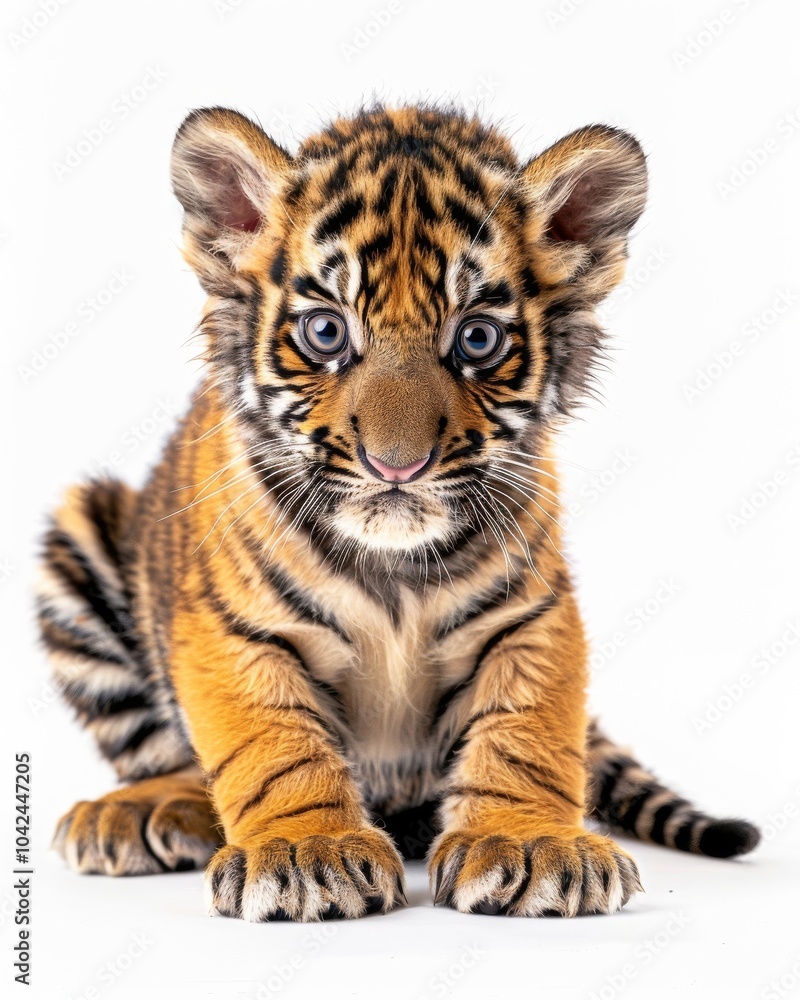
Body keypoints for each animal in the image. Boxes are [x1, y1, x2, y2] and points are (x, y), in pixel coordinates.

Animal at [38, 103, 759, 922]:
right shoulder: (232, 629)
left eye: (477, 339)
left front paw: (531, 844)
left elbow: (525, 734)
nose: (396, 465)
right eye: (326, 331)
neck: (393, 565)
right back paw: (142, 811)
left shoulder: (533, 615)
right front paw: (306, 851)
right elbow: (273, 747)